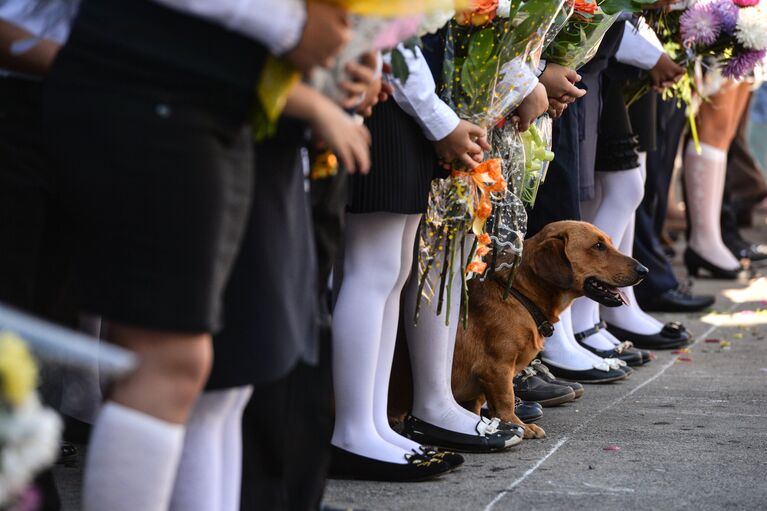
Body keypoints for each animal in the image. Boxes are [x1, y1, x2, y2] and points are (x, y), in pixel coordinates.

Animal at [450, 218, 648, 438]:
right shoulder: (496, 368)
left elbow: (480, 406)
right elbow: (506, 400)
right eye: (598, 246)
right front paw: (516, 425)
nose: (644, 271)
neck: (520, 295)